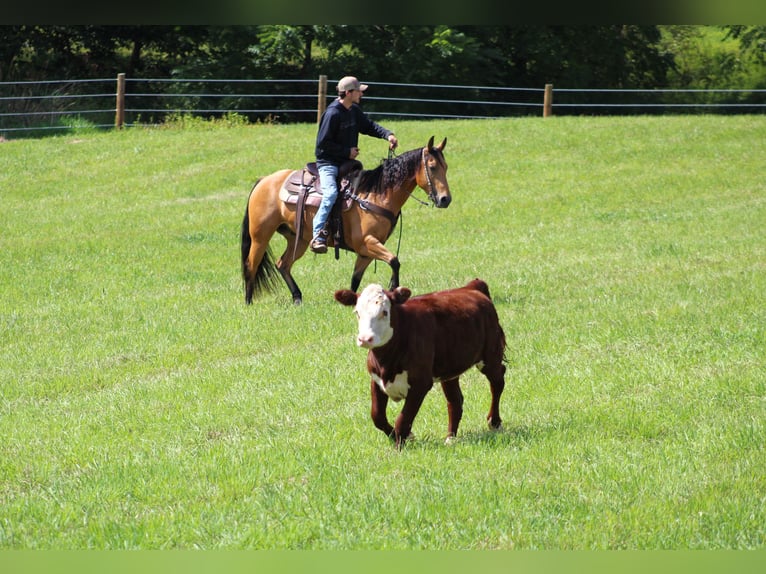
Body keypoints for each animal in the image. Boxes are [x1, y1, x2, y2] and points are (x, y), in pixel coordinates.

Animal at [242, 137, 450, 306]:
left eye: (446, 167)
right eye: (432, 167)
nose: (445, 199)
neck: (376, 195)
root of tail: (264, 180)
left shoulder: (366, 251)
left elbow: (356, 279)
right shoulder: (367, 242)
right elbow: (394, 261)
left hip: (298, 239)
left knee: (282, 264)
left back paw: (297, 298)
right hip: (260, 236)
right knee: (251, 264)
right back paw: (248, 302)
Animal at [332, 280, 508, 450]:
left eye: (384, 312)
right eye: (357, 312)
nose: (365, 339)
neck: (387, 362)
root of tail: (471, 286)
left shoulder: (420, 384)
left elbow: (403, 419)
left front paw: (399, 446)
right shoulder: (376, 380)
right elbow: (377, 416)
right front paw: (401, 436)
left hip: (490, 356)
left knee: (497, 383)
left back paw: (494, 422)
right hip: (449, 369)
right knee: (455, 401)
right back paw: (450, 438)